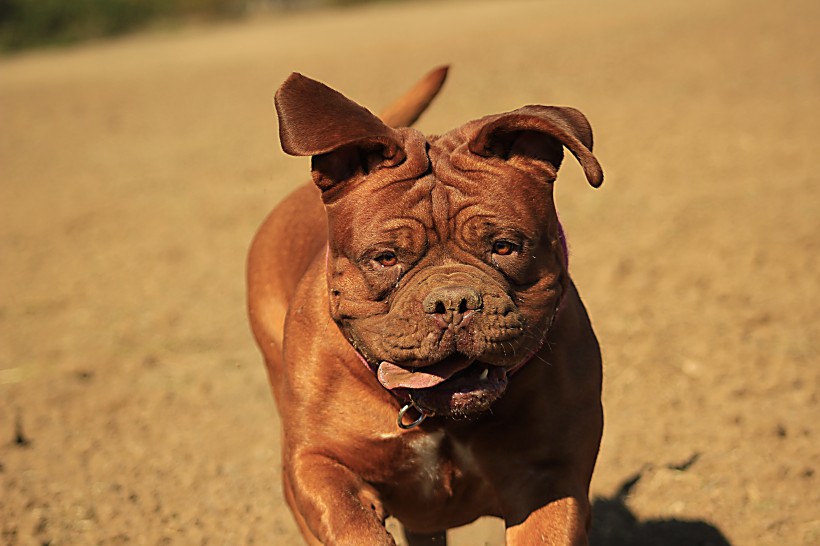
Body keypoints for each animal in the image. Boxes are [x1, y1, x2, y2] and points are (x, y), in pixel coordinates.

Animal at [248, 68, 604, 544]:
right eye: (385, 258)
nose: (452, 302)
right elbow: (352, 525)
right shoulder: (317, 463)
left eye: (505, 246)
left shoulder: (549, 473)